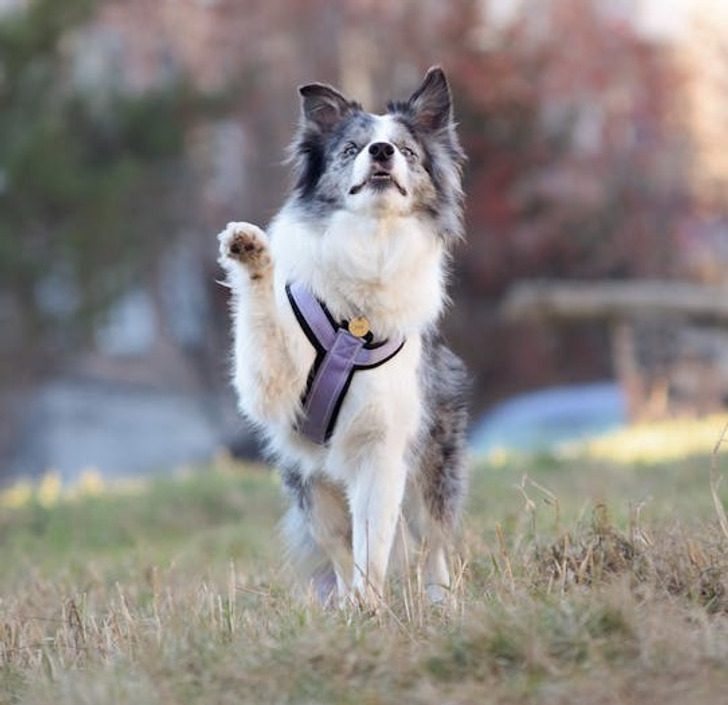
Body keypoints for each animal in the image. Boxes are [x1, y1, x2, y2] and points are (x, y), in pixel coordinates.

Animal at [218, 67, 466, 604]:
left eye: (406, 150)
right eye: (352, 148)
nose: (382, 151)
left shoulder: (383, 446)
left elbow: (373, 542)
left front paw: (371, 607)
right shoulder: (272, 386)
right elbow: (260, 328)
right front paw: (251, 255)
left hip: (433, 464)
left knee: (432, 541)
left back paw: (439, 601)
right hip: (310, 488)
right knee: (334, 544)